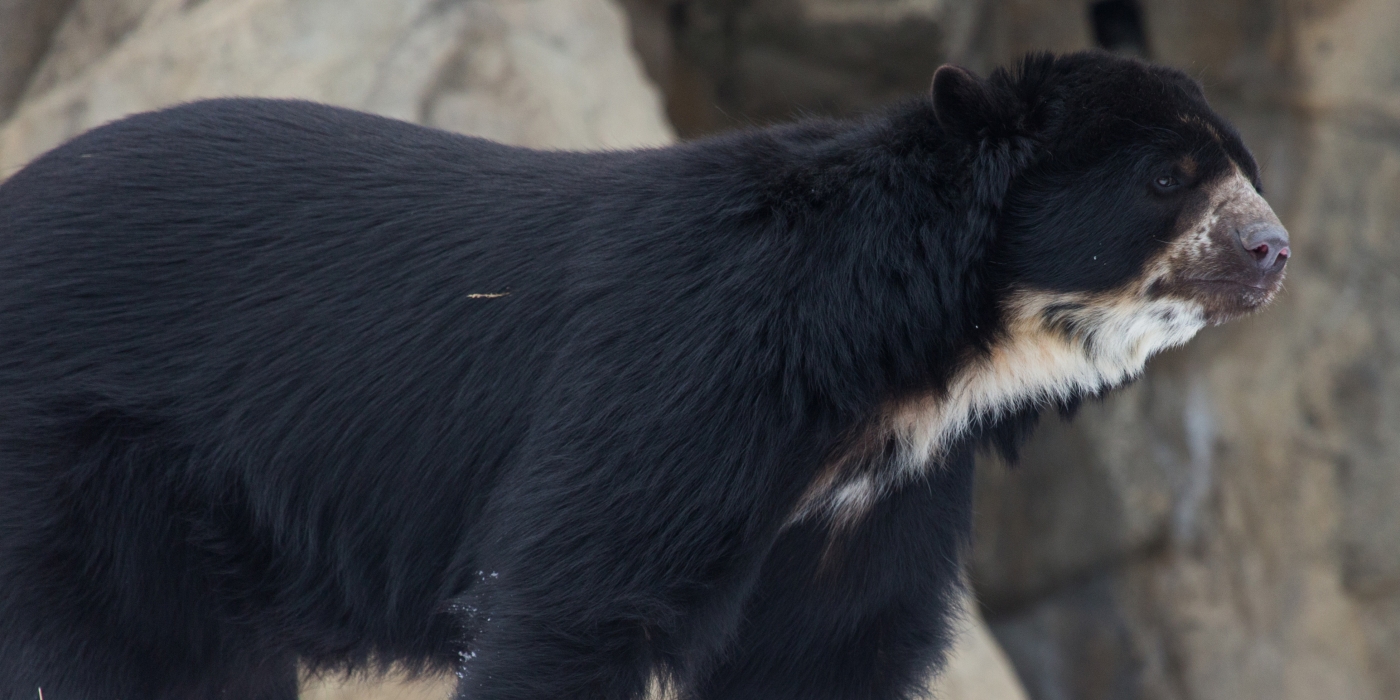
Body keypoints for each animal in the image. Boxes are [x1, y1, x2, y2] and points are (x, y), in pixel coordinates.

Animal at [0, 50, 1288, 700]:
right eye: (1167, 177)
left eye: (1243, 167)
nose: (1271, 250)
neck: (914, 359)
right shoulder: (692, 376)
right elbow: (579, 595)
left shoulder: (882, 489)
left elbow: (828, 646)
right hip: (74, 469)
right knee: (119, 657)